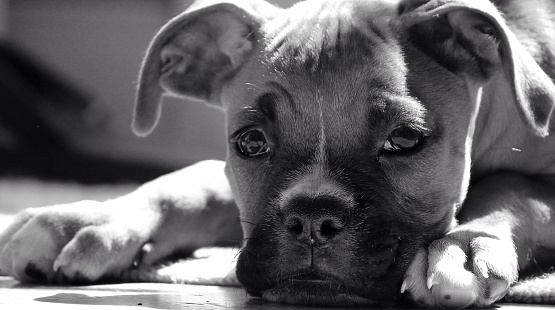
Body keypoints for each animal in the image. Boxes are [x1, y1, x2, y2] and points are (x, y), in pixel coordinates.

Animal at [1, 0, 555, 306]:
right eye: (250, 141)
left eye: (404, 140)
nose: (312, 219)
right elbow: (193, 180)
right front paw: (83, 220)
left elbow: (513, 187)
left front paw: (465, 246)